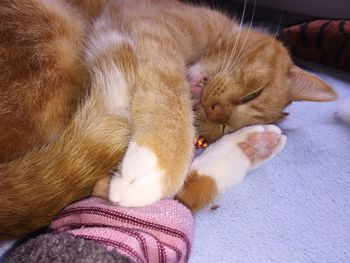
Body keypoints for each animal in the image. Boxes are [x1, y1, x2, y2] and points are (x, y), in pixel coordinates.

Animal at [0, 0, 336, 241]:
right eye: (253, 94)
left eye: (221, 129)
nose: (215, 110)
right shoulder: (147, 24)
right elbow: (168, 85)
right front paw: (160, 161)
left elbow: (179, 196)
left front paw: (251, 144)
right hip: (51, 26)